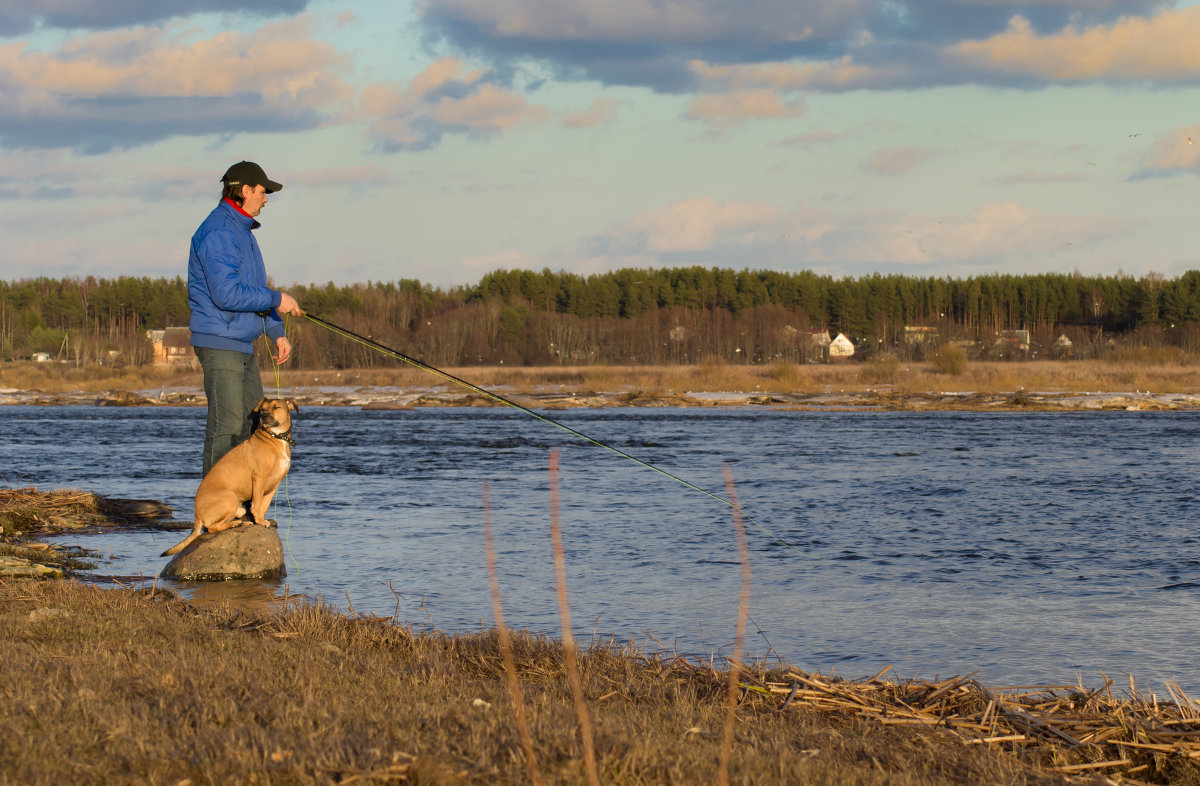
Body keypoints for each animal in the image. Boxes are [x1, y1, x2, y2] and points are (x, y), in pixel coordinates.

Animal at [160, 396, 296, 556]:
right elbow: (257, 504)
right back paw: (235, 524)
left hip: (238, 508)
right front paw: (261, 521)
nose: (263, 416)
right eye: (262, 409)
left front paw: (261, 519)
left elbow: (264, 505)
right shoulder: (259, 478)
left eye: (276, 407)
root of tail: (197, 515)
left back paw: (239, 523)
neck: (275, 437)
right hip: (230, 498)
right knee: (210, 527)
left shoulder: (274, 484)